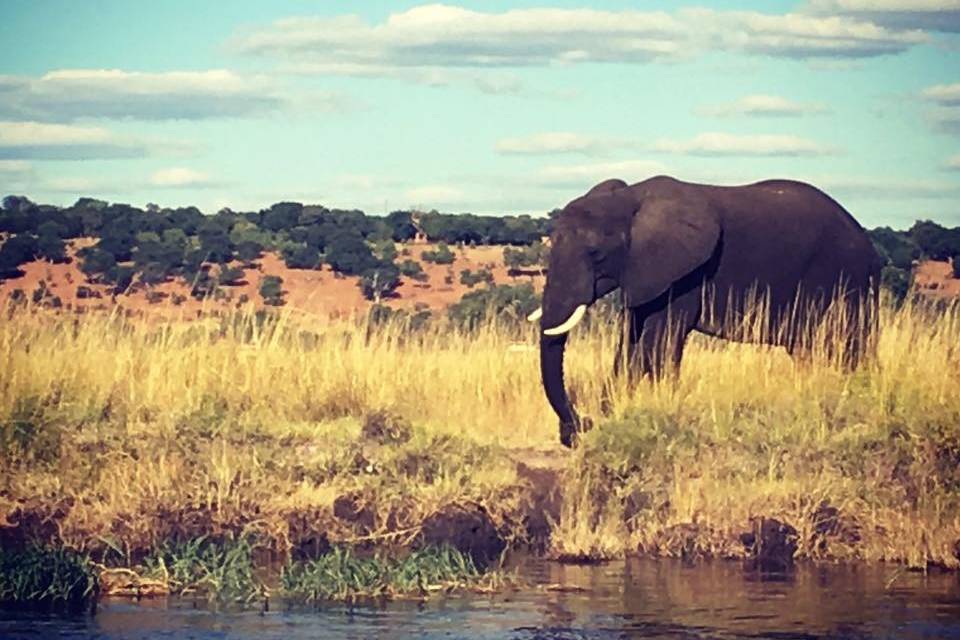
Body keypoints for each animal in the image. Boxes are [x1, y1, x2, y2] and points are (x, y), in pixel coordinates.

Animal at [528, 174, 880, 444]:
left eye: (595, 253)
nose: (578, 426)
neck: (630, 199)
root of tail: (867, 241)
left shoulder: (686, 274)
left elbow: (658, 344)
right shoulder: (645, 273)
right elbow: (629, 343)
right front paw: (609, 415)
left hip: (843, 276)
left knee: (850, 346)